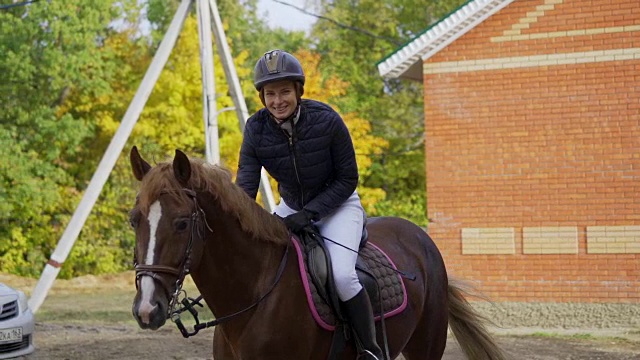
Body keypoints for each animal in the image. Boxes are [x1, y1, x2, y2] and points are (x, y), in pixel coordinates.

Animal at [127, 147, 502, 360]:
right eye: (135, 220)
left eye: (181, 223)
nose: (147, 310)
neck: (255, 297)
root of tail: (421, 238)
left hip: (427, 345)